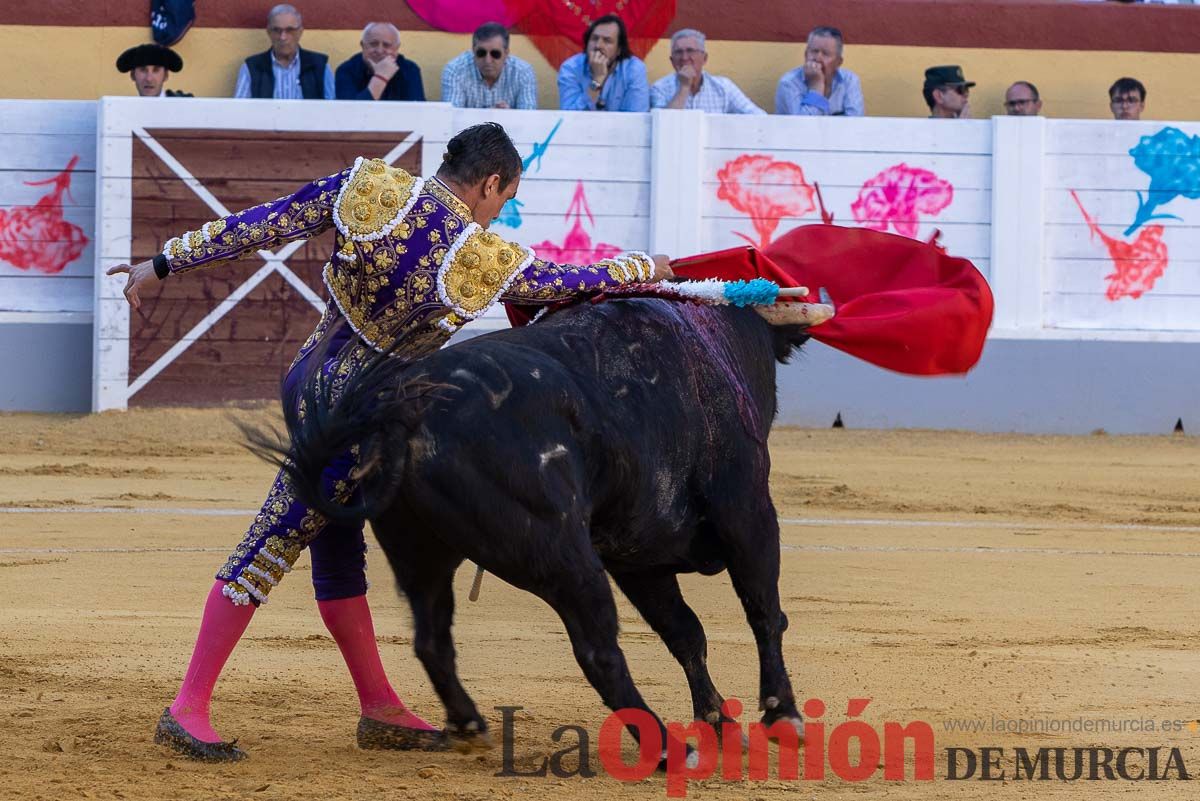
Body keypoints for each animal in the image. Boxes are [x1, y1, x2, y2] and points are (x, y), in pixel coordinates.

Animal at [273, 298, 816, 753]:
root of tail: (409, 413)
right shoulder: (747, 511)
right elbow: (764, 613)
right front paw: (782, 715)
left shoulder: (636, 557)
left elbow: (686, 633)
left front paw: (720, 721)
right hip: (562, 554)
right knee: (598, 652)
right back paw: (666, 749)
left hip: (419, 552)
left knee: (431, 637)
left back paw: (467, 724)